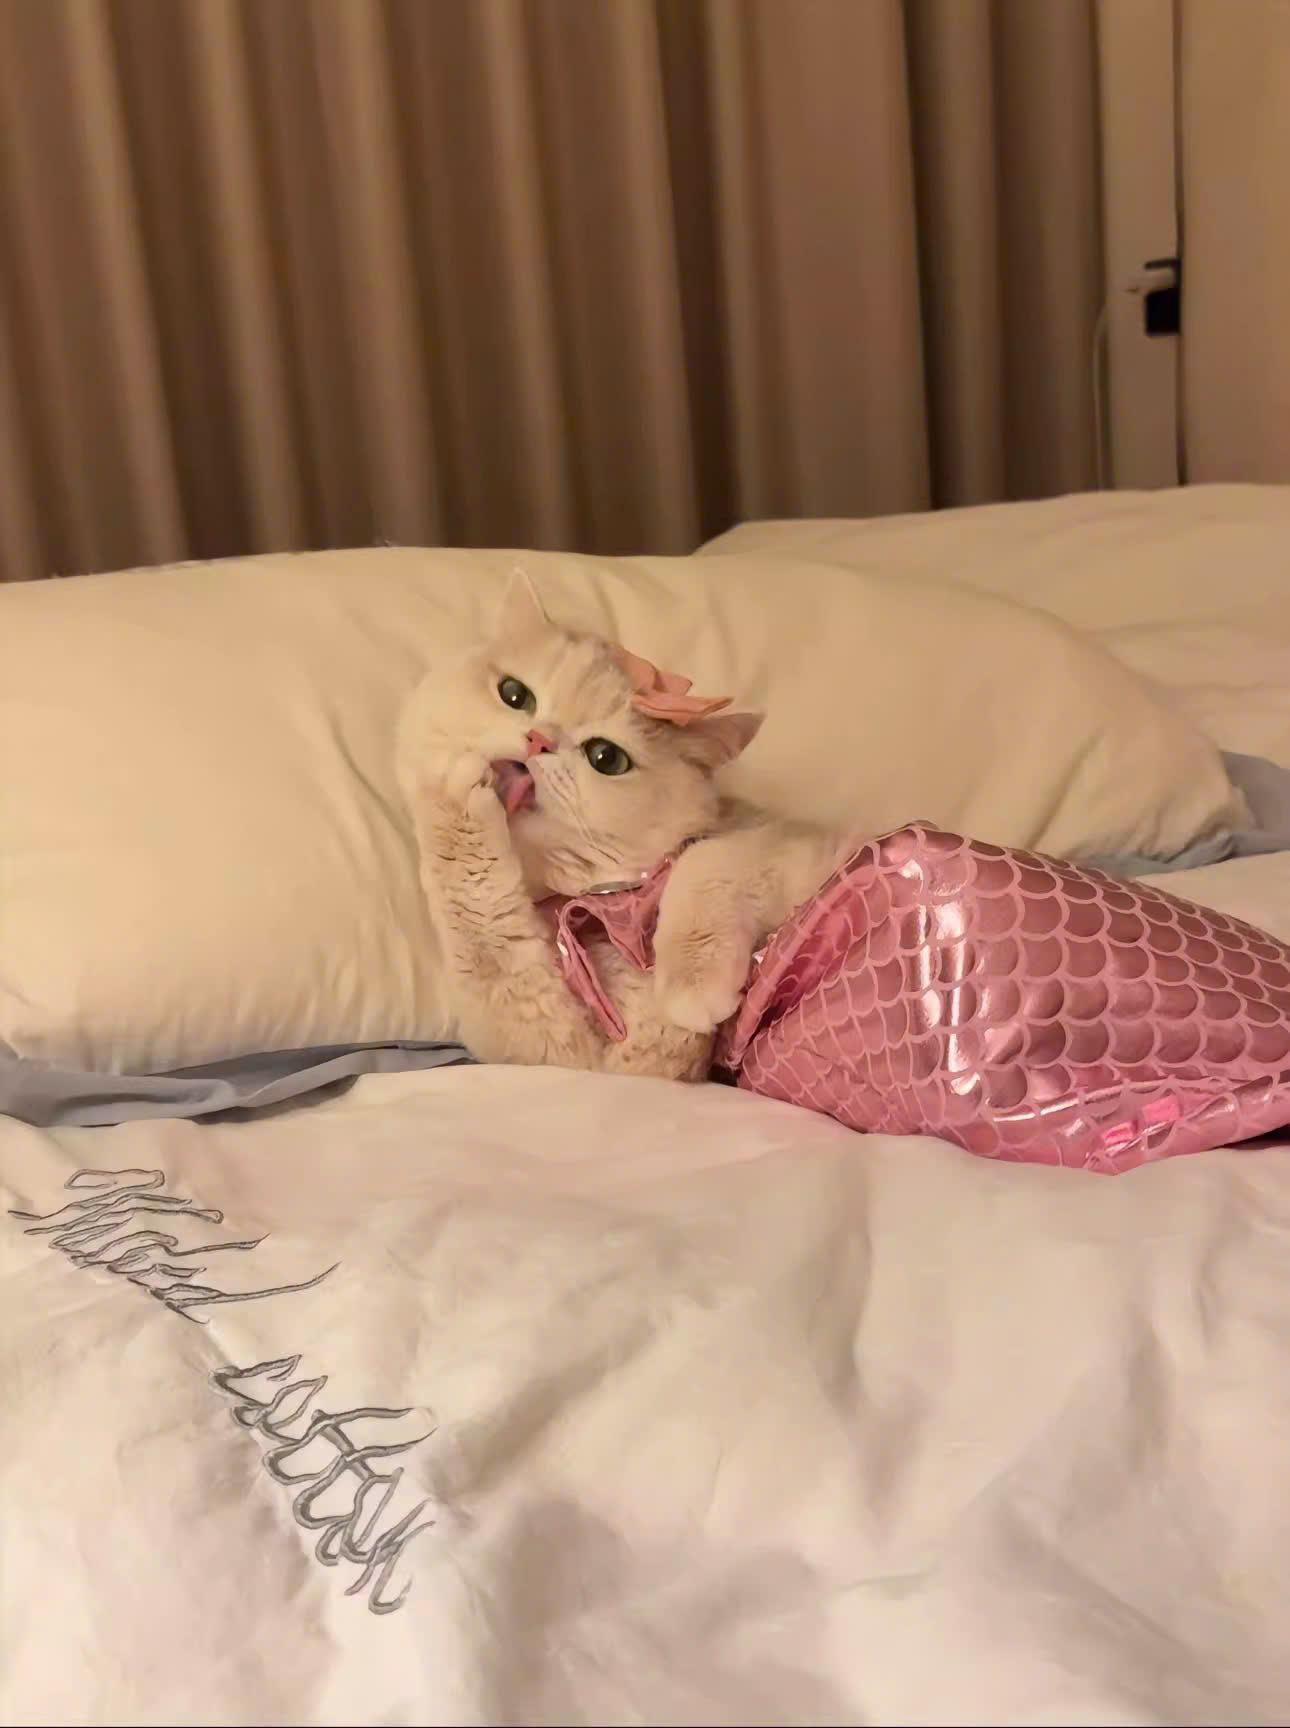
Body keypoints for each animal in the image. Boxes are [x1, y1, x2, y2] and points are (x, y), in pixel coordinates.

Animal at [396, 570, 842, 1079]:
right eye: (514, 695)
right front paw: (449, 798)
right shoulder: (565, 1053)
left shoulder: (800, 846)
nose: (537, 740)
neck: (602, 904)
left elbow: (706, 859)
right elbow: (486, 936)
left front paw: (692, 990)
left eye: (606, 758)